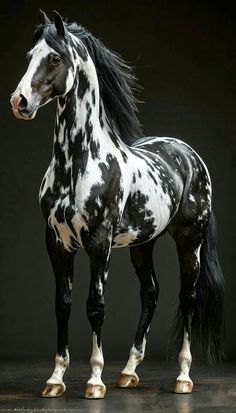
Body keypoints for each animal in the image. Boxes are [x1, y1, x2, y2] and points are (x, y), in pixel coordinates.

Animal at [10, 11, 224, 400]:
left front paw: (95, 381)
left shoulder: (99, 243)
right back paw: (128, 372)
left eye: (54, 58)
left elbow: (95, 307)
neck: (78, 163)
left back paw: (183, 377)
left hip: (190, 241)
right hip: (143, 244)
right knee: (151, 294)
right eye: (30, 55)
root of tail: (190, 155)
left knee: (187, 297)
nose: (19, 102)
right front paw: (55, 379)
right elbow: (62, 305)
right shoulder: (57, 244)